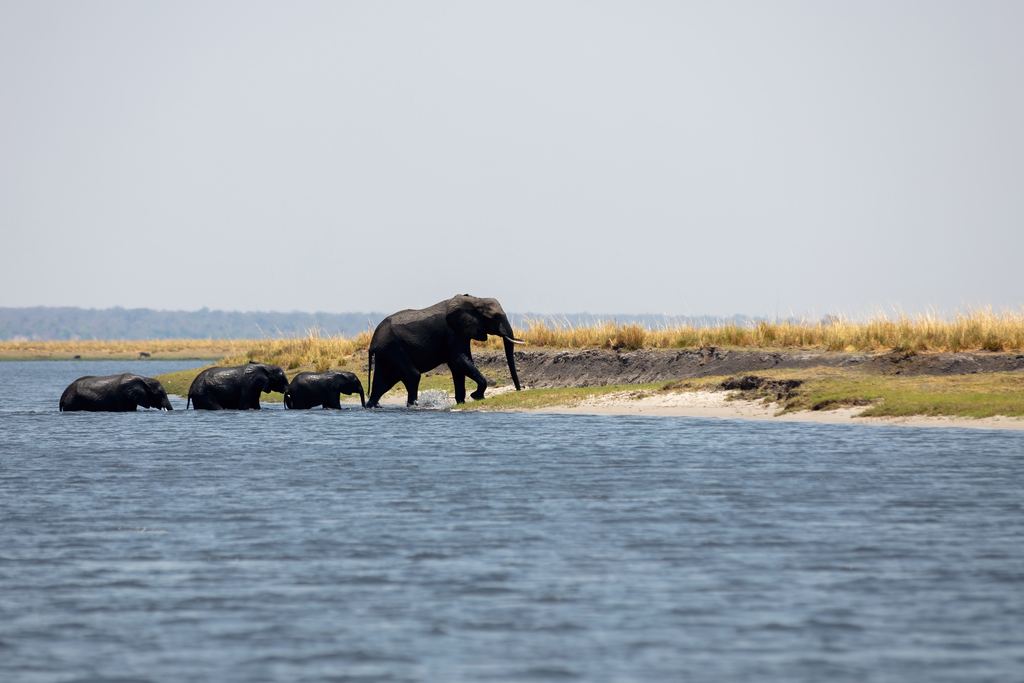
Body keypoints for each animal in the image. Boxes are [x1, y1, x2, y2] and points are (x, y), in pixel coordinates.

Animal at [366, 294, 523, 407]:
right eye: (495, 317)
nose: (519, 390)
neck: (475, 299)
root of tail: (372, 342)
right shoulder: (452, 332)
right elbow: (459, 360)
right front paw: (476, 397)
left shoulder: (461, 332)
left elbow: (459, 366)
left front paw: (462, 403)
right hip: (393, 348)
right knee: (412, 375)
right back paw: (412, 406)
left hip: (386, 352)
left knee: (384, 381)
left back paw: (372, 406)